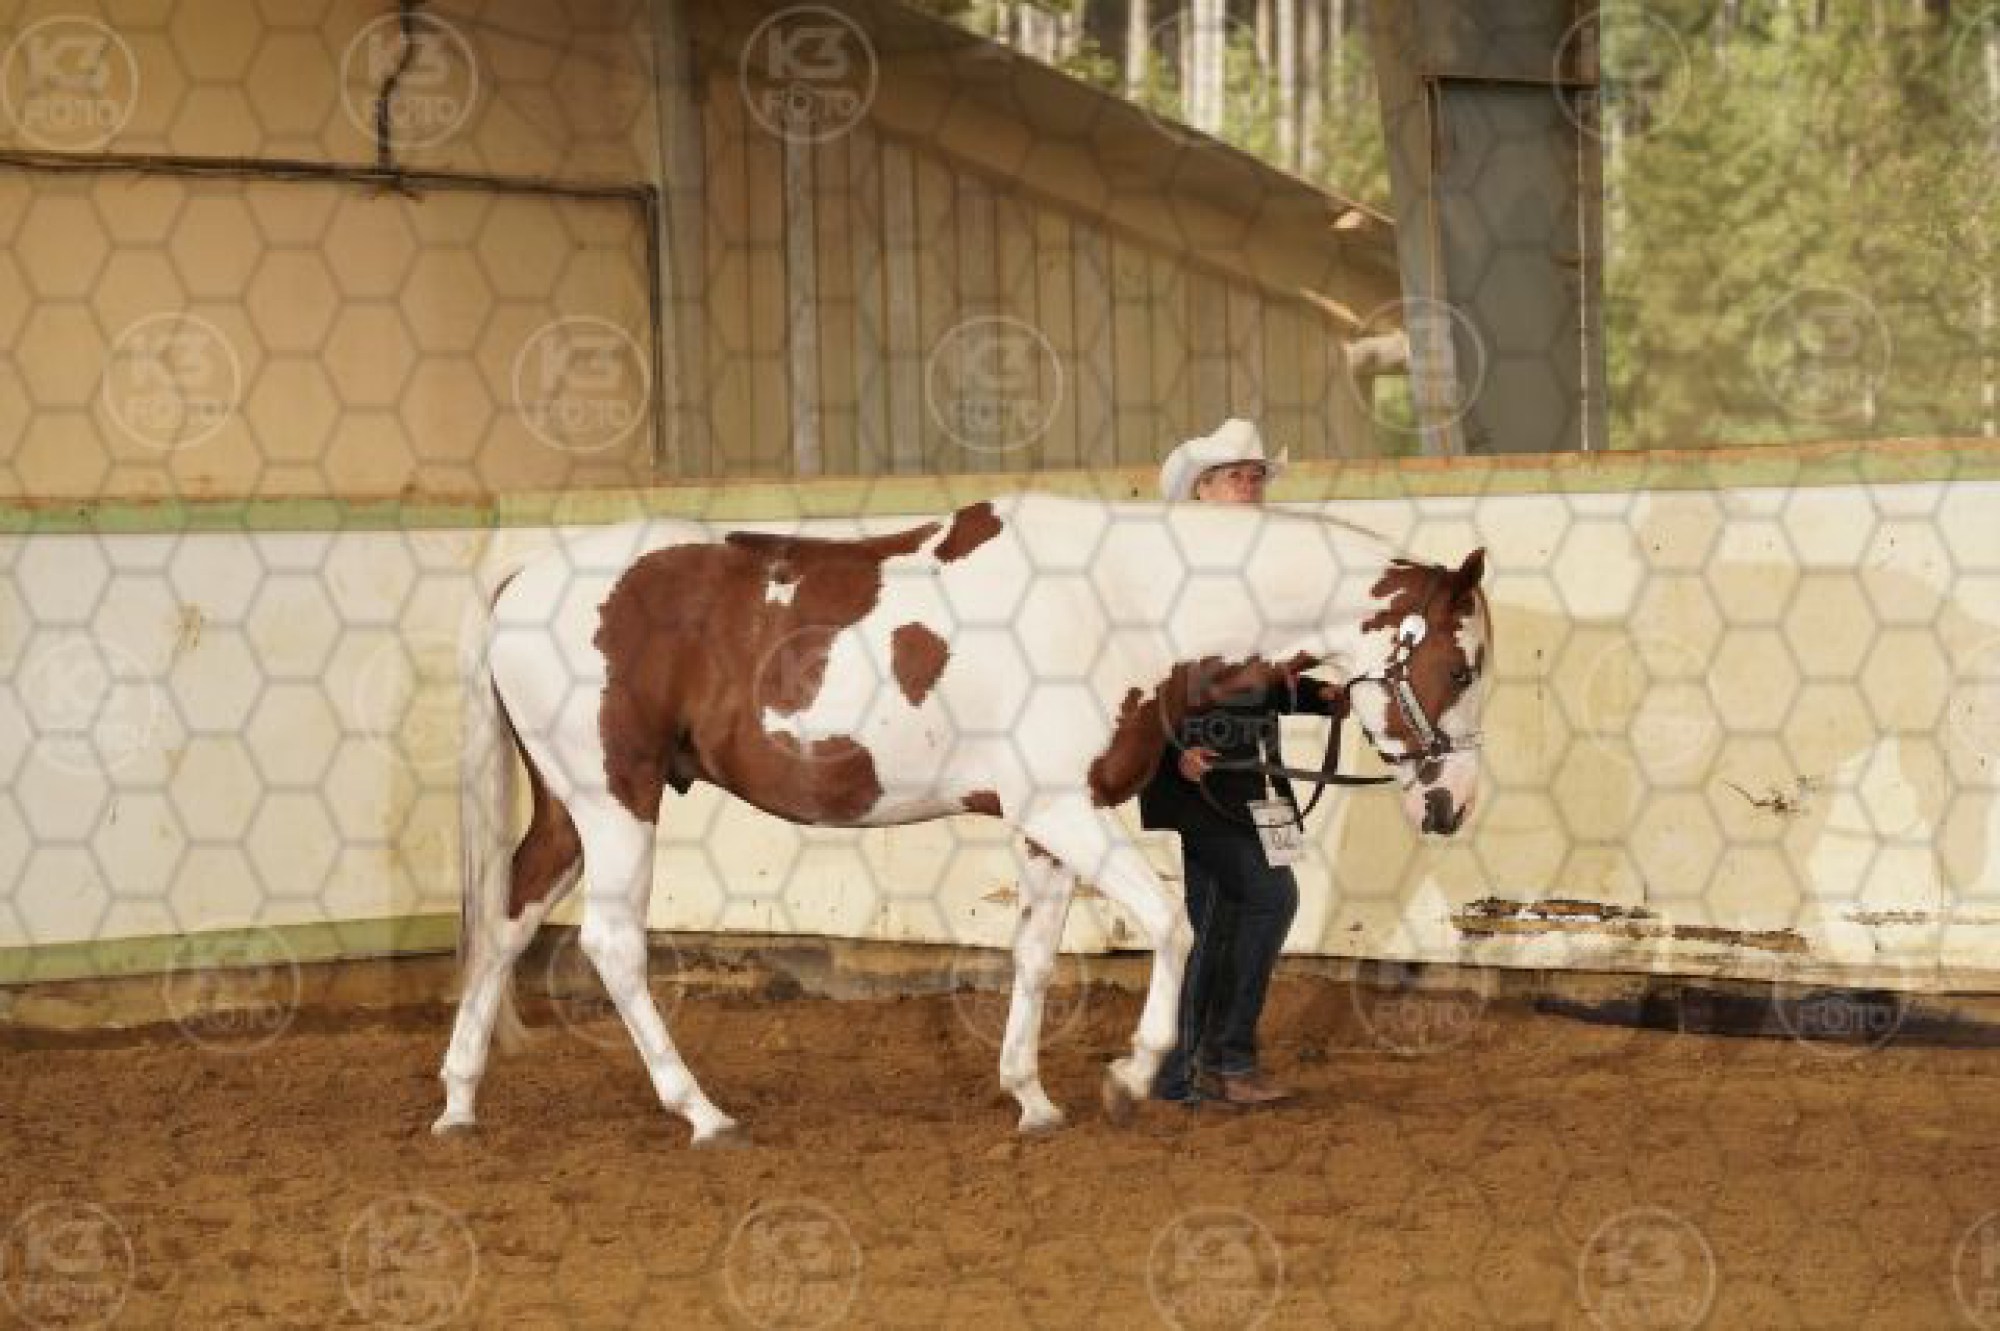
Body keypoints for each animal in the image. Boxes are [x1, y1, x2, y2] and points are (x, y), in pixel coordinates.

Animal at [432, 492, 1493, 1146]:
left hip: (569, 812)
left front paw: (1031, 1096)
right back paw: (702, 1112)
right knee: (611, 943)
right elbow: (1170, 922)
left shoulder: (1045, 827)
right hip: (618, 802)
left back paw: (459, 1099)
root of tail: (520, 583)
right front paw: (1130, 1073)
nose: (1454, 804)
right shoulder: (1068, 810)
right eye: (1459, 663)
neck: (1116, 600)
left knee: (509, 918)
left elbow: (1034, 956)